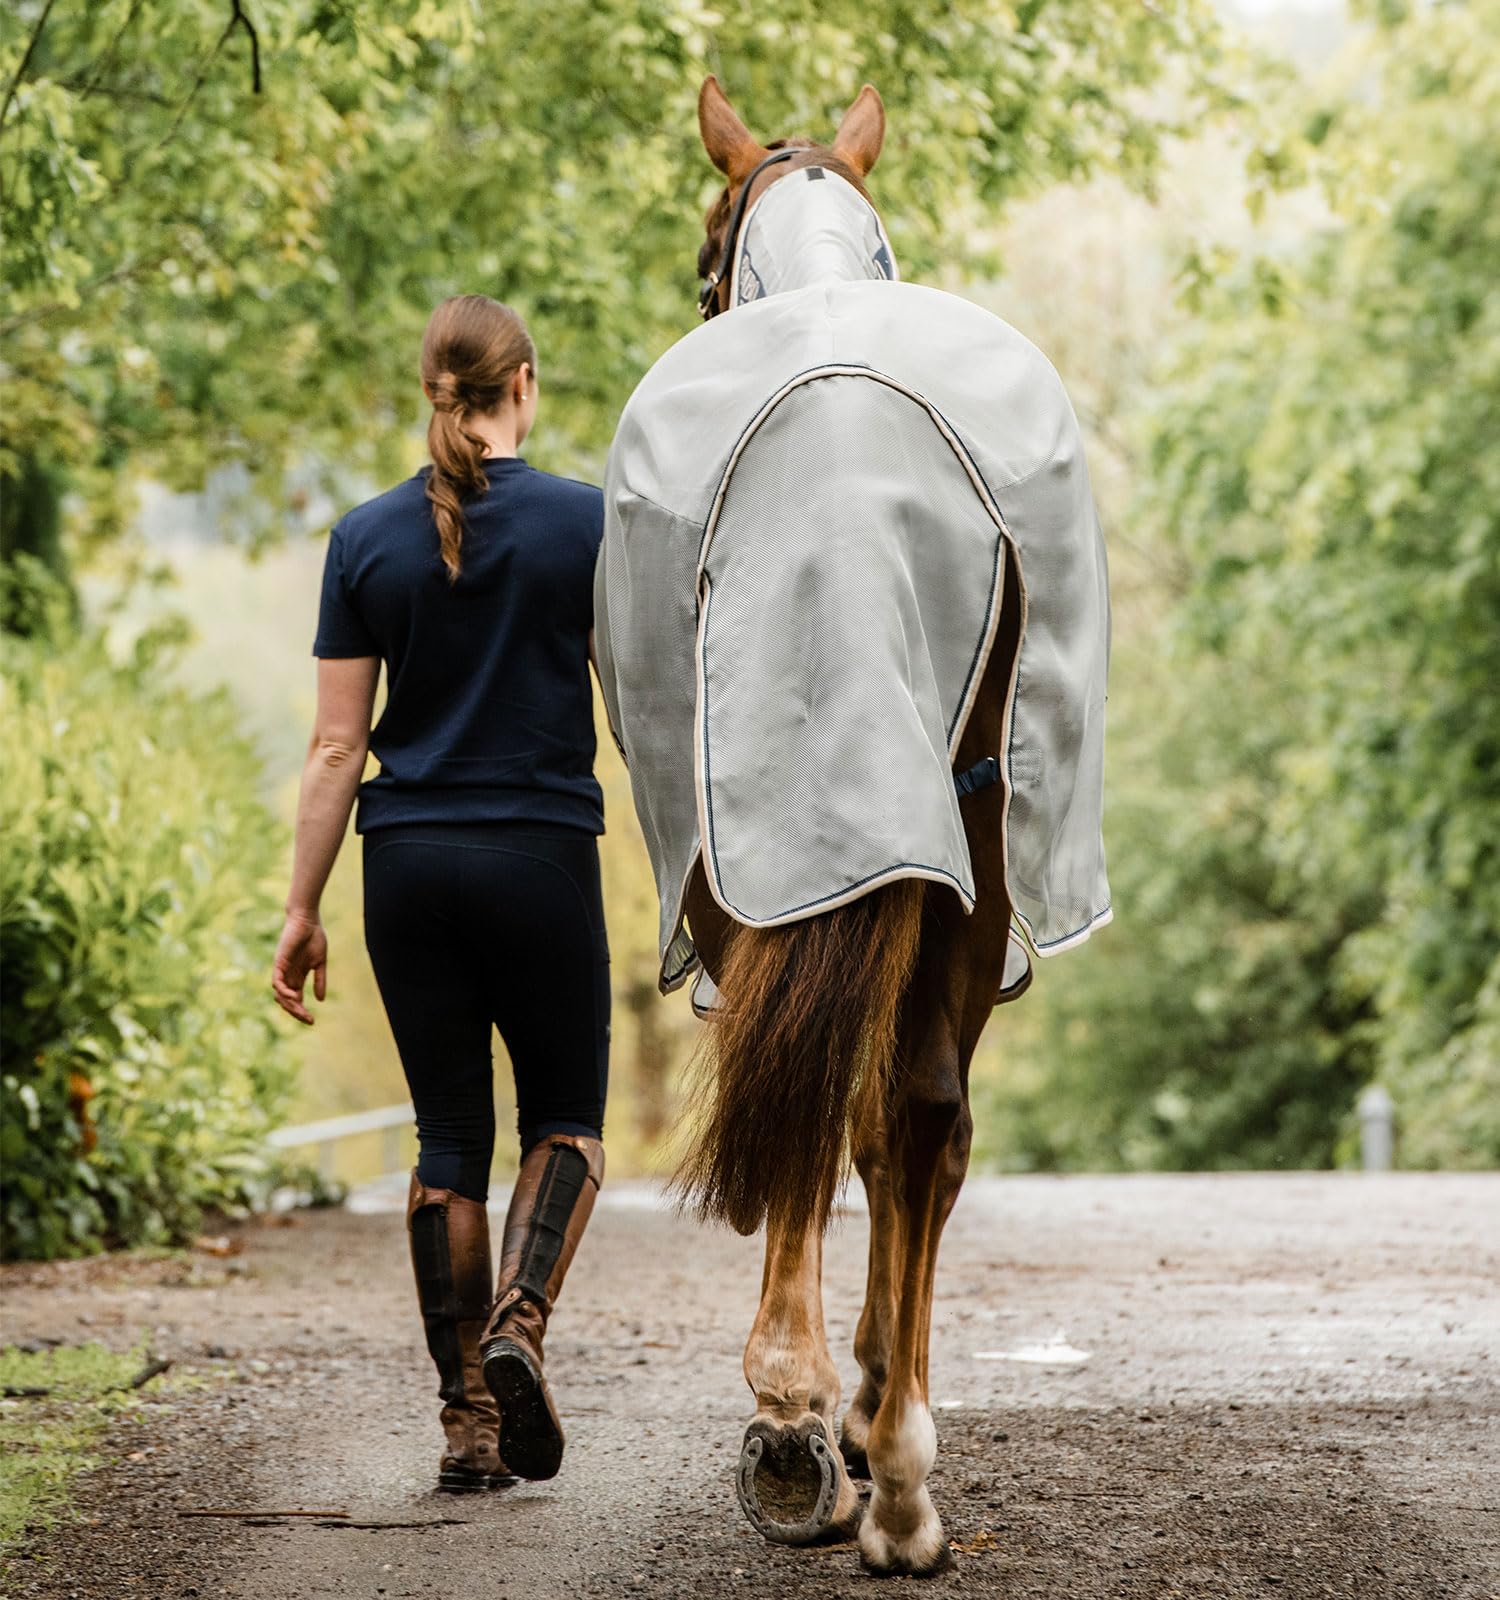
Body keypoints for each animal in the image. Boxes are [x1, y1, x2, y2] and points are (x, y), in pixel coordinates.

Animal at [594, 75, 1110, 1576]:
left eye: (699, 261)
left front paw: (823, 1409)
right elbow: (908, 1129)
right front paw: (876, 1412)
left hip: (756, 860)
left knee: (838, 1102)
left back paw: (806, 1427)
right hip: (963, 846)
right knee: (912, 1110)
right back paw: (897, 1476)